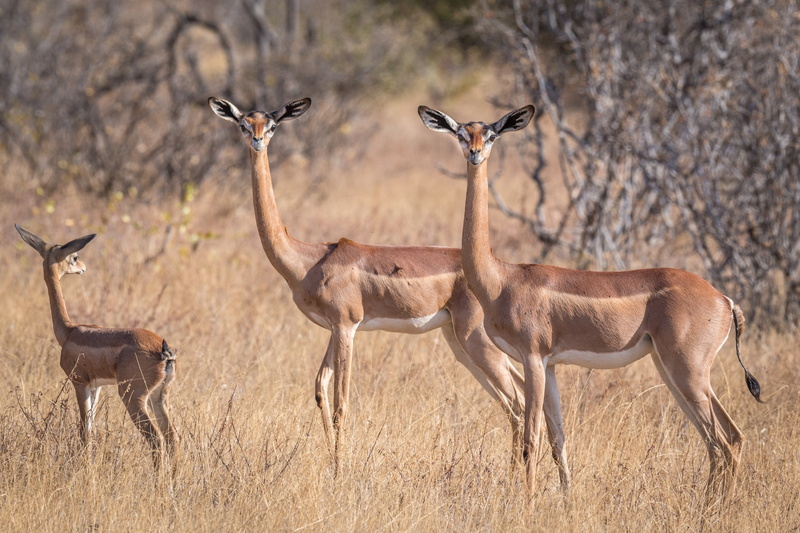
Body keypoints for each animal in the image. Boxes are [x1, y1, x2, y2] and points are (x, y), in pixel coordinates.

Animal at [15, 224, 178, 472]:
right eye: (75, 257)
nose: (83, 268)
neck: (69, 331)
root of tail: (163, 351)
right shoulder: (96, 387)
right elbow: (90, 428)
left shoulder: (79, 383)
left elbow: (85, 431)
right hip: (159, 396)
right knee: (172, 437)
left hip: (133, 397)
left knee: (155, 438)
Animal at [208, 96, 573, 483]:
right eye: (244, 124)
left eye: (272, 125)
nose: (257, 142)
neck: (307, 259)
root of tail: (501, 273)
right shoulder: (334, 329)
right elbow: (320, 389)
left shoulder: (346, 326)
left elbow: (341, 403)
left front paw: (339, 473)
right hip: (459, 343)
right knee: (518, 400)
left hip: (477, 340)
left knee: (517, 401)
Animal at [418, 104, 764, 508]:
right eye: (461, 133)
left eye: (490, 134)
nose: (474, 154)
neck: (501, 278)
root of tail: (725, 300)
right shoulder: (550, 365)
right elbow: (558, 439)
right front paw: (566, 501)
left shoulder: (532, 358)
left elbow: (532, 439)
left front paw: (528, 506)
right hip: (671, 370)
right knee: (720, 440)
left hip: (688, 371)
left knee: (726, 439)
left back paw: (713, 510)